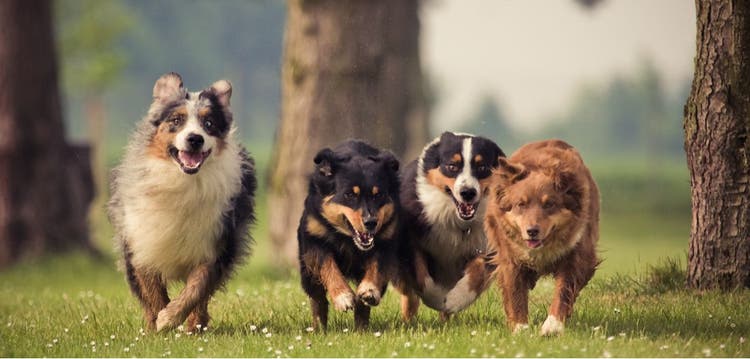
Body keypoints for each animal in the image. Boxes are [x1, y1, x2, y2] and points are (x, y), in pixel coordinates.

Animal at [298, 141, 400, 332]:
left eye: (378, 195)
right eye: (350, 194)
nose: (371, 222)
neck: (347, 238)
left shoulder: (386, 241)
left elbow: (376, 265)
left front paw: (369, 290)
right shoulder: (314, 240)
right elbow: (328, 265)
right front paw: (343, 297)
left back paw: (361, 328)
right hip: (307, 273)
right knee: (317, 299)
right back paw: (319, 329)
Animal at [394, 131, 506, 320]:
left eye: (482, 167)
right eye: (452, 166)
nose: (467, 192)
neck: (458, 221)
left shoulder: (489, 244)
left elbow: (478, 272)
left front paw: (455, 300)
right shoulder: (410, 240)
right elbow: (421, 277)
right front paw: (437, 298)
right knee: (409, 294)